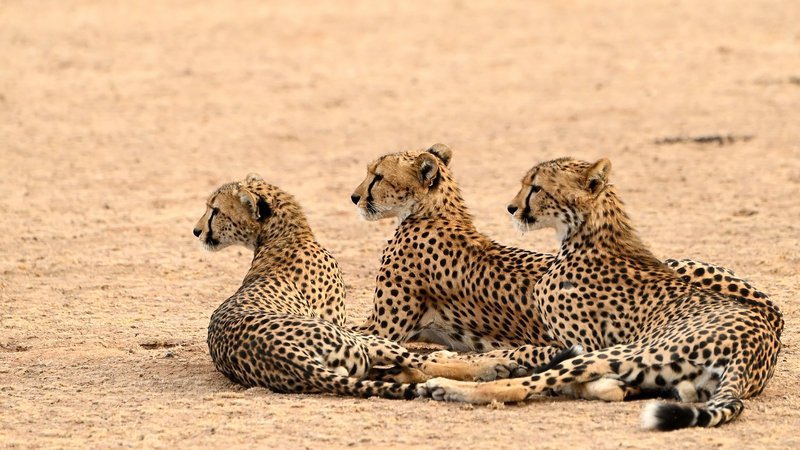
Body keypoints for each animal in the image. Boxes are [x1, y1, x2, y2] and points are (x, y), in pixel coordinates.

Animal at [192, 174, 515, 399]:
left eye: (215, 210)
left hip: (353, 358)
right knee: (419, 363)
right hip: (354, 341)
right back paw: (491, 364)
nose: (196, 231)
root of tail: (288, 359)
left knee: (402, 370)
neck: (284, 236)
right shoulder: (342, 321)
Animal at [424, 157, 782, 430]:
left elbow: (516, 355)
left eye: (536, 187)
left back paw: (444, 387)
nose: (511, 208)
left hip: (625, 352)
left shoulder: (582, 343)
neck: (587, 233)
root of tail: (756, 346)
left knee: (523, 386)